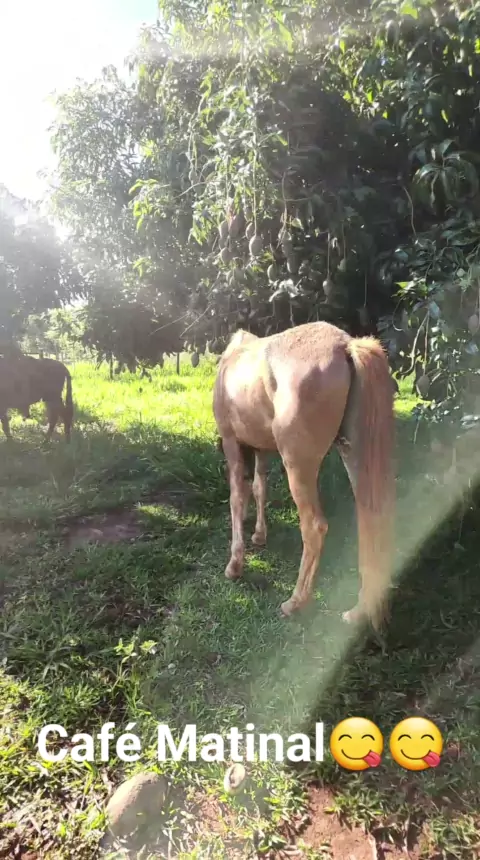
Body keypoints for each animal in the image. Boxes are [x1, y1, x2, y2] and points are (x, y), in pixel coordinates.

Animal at [213, 321, 396, 633]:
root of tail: (346, 345)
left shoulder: (232, 443)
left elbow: (237, 497)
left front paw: (235, 565)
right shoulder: (262, 448)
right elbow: (260, 487)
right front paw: (259, 535)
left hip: (298, 464)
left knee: (313, 526)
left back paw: (296, 602)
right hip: (354, 452)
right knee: (371, 517)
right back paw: (360, 610)